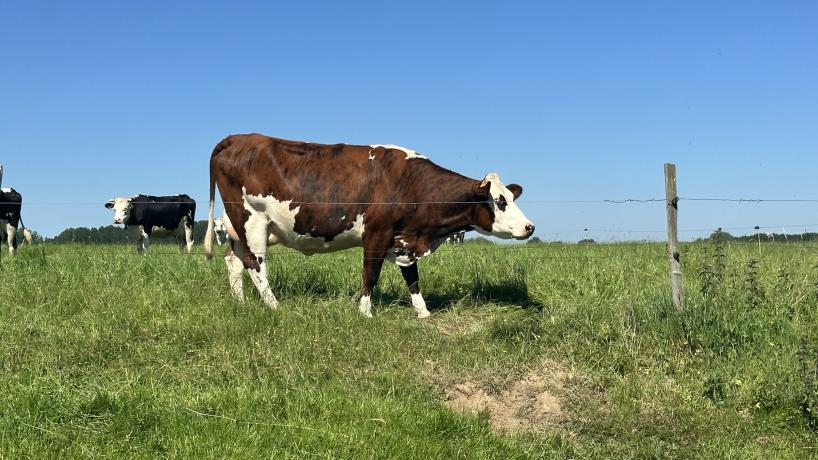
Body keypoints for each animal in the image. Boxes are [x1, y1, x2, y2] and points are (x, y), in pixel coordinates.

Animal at [204, 134, 535, 318]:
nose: (530, 227)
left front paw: (423, 313)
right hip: (252, 220)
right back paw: (275, 307)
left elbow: (413, 278)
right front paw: (365, 313)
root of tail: (238, 137)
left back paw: (241, 304)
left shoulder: (403, 239)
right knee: (255, 264)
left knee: (234, 262)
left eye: (510, 197)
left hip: (238, 229)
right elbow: (370, 275)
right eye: (500, 201)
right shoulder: (377, 233)